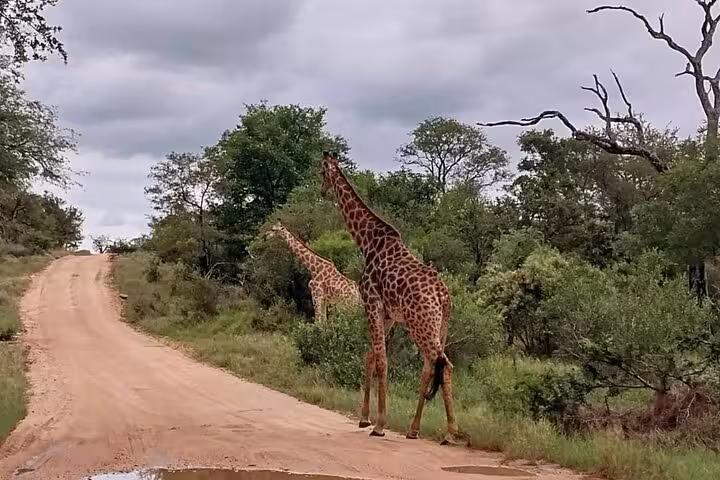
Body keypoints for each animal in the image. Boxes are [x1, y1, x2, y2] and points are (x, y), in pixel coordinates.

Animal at [319, 151, 458, 443]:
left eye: (321, 172)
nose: (321, 190)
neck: (367, 243)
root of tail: (443, 295)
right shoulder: (388, 314)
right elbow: (370, 356)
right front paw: (364, 417)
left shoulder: (371, 302)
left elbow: (382, 360)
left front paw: (380, 424)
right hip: (440, 327)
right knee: (433, 366)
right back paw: (415, 429)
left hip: (421, 325)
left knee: (444, 365)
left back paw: (450, 432)